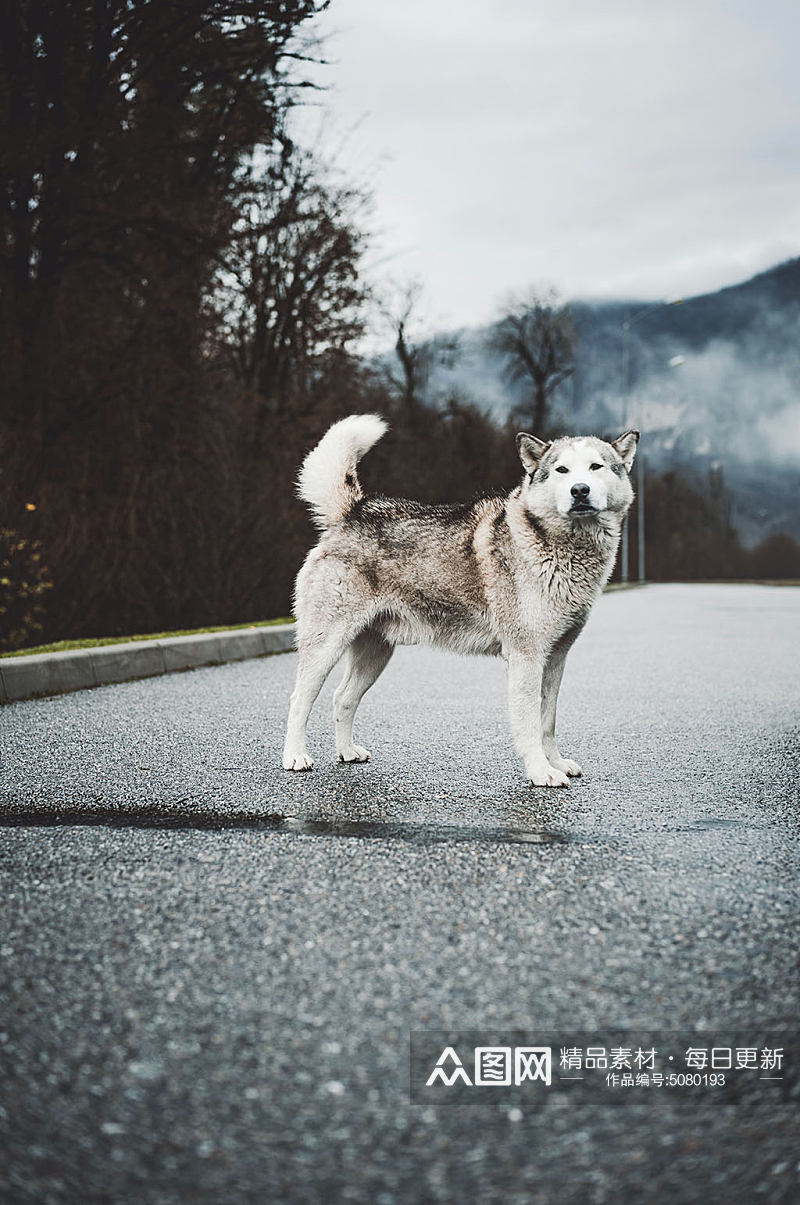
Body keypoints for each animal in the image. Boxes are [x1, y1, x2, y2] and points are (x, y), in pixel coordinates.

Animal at [280, 416, 636, 790]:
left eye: (595, 467)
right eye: (562, 470)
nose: (579, 490)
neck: (560, 548)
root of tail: (352, 512)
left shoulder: (555, 659)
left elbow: (547, 723)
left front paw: (556, 763)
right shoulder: (526, 659)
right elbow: (529, 726)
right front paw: (541, 772)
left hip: (375, 655)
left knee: (342, 698)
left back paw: (347, 752)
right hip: (326, 648)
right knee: (299, 700)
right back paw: (295, 757)